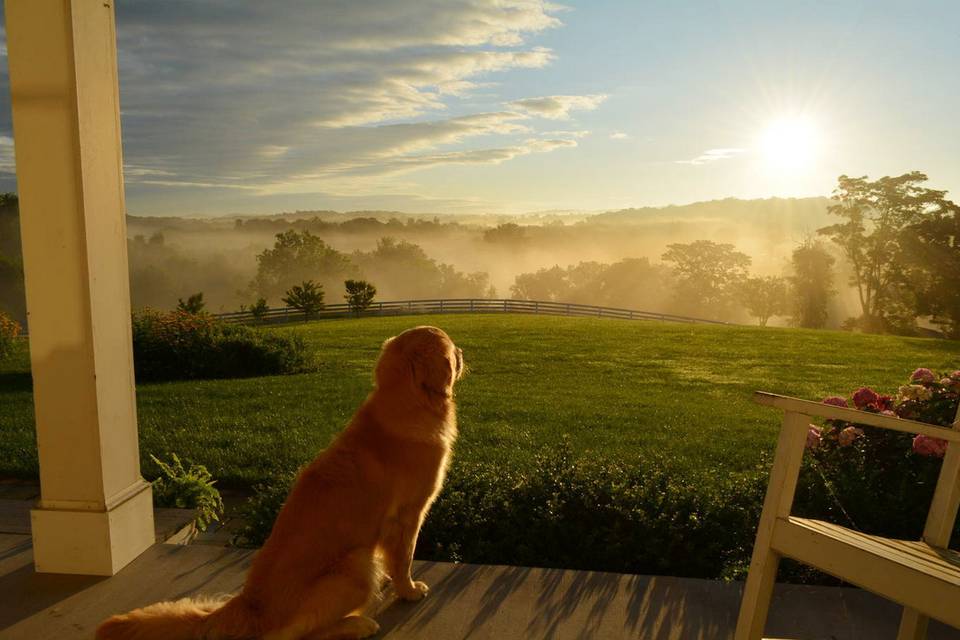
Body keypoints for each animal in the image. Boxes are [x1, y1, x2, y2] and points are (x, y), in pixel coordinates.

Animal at [95, 328, 464, 636]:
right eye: (450, 346)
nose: (462, 350)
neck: (406, 401)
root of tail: (249, 604)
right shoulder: (408, 515)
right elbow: (404, 559)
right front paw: (409, 590)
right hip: (357, 564)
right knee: (292, 634)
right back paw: (358, 624)